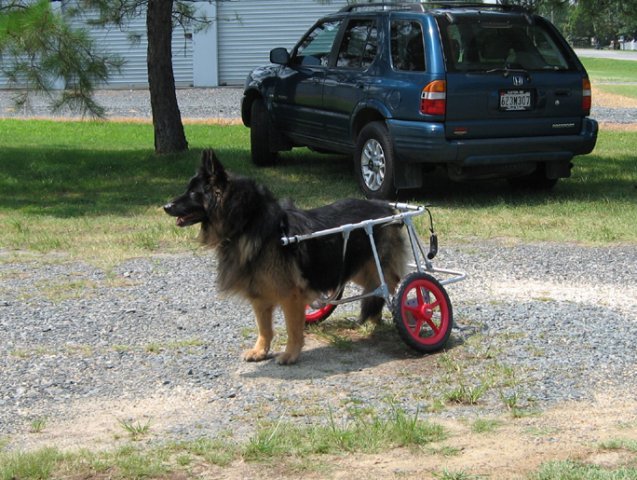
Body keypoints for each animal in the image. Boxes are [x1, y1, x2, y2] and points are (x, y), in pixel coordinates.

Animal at [164, 149, 408, 364]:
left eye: (193, 193)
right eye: (188, 189)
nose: (165, 206)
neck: (247, 223)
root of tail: (386, 208)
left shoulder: (291, 296)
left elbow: (293, 329)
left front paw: (290, 354)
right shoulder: (260, 296)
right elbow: (264, 328)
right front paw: (260, 351)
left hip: (375, 265)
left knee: (391, 283)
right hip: (358, 267)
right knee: (376, 288)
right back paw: (374, 319)